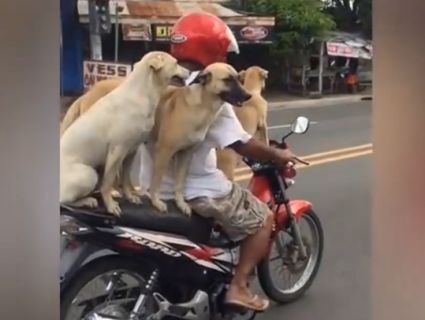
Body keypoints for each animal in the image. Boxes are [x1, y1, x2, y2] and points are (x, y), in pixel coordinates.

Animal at [59, 51, 189, 216]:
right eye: (176, 63)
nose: (190, 71)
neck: (142, 93)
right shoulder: (117, 150)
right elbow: (108, 182)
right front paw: (110, 205)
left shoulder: (132, 150)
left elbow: (126, 178)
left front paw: (130, 196)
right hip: (88, 174)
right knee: (63, 201)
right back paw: (86, 201)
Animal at [148, 63, 250, 215]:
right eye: (228, 80)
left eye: (239, 79)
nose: (249, 96)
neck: (202, 106)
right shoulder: (164, 151)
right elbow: (157, 179)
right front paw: (156, 201)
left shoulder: (185, 155)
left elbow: (180, 182)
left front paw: (181, 203)